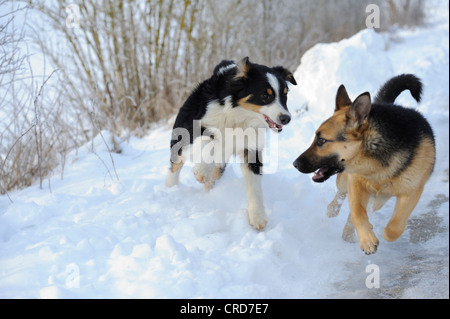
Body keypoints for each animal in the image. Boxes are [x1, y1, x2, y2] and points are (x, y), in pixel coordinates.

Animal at [165, 57, 296, 230]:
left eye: (285, 95)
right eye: (265, 95)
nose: (286, 118)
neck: (240, 115)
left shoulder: (251, 149)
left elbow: (254, 186)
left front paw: (257, 217)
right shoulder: (196, 127)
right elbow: (208, 140)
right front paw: (201, 171)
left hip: (221, 164)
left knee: (213, 175)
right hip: (180, 140)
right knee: (175, 166)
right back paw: (171, 189)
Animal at [294, 75, 434, 255]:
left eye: (322, 140)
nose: (295, 164)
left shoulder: (412, 191)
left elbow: (394, 227)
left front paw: (381, 233)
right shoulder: (356, 182)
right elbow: (357, 213)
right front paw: (367, 240)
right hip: (345, 182)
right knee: (341, 196)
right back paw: (334, 212)